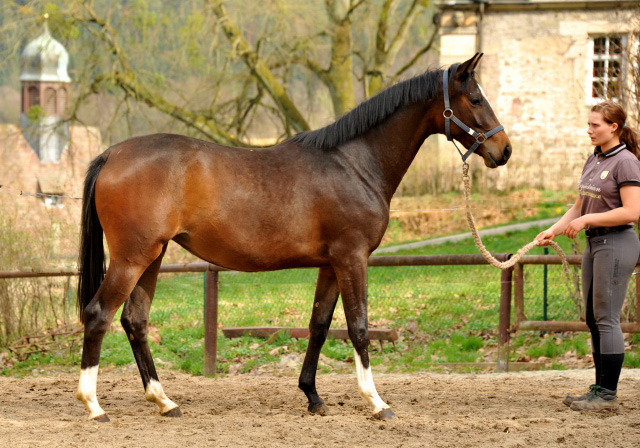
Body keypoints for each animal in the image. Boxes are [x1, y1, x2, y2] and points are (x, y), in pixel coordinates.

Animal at [76, 52, 510, 420]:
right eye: (475, 98)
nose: (504, 150)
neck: (354, 163)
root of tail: (112, 154)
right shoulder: (352, 257)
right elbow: (359, 327)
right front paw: (376, 402)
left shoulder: (330, 264)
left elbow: (319, 326)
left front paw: (313, 397)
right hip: (132, 258)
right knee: (99, 315)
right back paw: (94, 406)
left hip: (153, 256)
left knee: (134, 320)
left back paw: (164, 401)